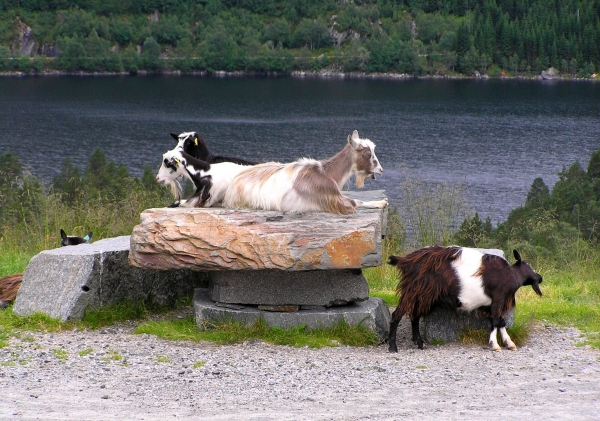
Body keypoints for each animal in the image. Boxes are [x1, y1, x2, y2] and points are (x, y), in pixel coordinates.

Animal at [386, 246, 540, 352]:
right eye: (528, 265)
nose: (540, 277)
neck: (511, 275)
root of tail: (406, 261)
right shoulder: (498, 299)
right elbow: (497, 321)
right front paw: (495, 345)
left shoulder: (492, 305)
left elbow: (500, 322)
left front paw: (509, 343)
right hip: (413, 292)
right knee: (397, 315)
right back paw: (393, 346)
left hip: (422, 296)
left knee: (415, 316)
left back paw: (419, 343)